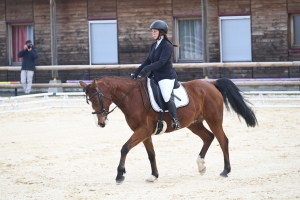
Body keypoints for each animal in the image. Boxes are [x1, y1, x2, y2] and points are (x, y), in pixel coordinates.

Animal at [80, 77, 258, 184]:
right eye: (89, 101)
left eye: (97, 100)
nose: (100, 123)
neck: (132, 98)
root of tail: (211, 84)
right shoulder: (145, 133)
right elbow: (151, 154)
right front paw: (154, 175)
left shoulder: (143, 130)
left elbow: (124, 148)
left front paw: (120, 174)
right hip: (193, 123)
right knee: (208, 137)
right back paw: (201, 166)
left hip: (213, 119)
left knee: (222, 140)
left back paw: (225, 171)